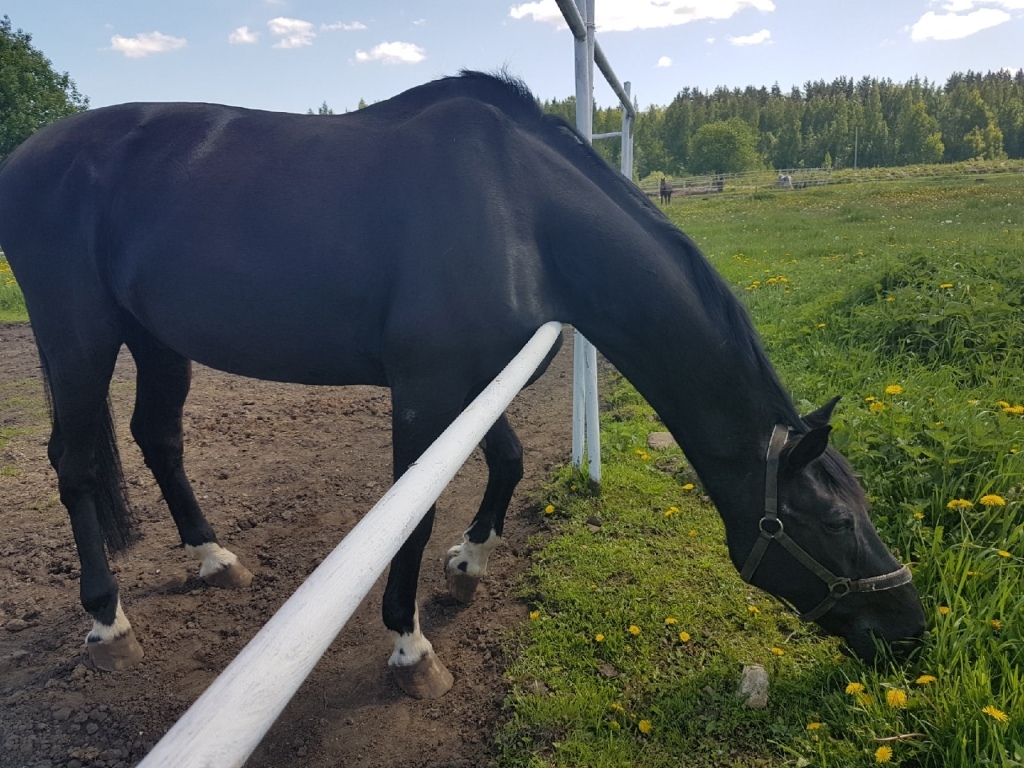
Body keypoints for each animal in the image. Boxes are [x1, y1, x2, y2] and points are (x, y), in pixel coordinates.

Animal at [0, 73, 929, 704]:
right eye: (835, 522)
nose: (910, 631)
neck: (522, 212)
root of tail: (31, 155)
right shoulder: (425, 390)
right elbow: (410, 516)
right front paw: (411, 649)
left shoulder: (474, 385)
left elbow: (508, 465)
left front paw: (470, 562)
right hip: (78, 335)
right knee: (74, 462)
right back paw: (108, 622)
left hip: (157, 340)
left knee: (158, 437)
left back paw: (210, 557)